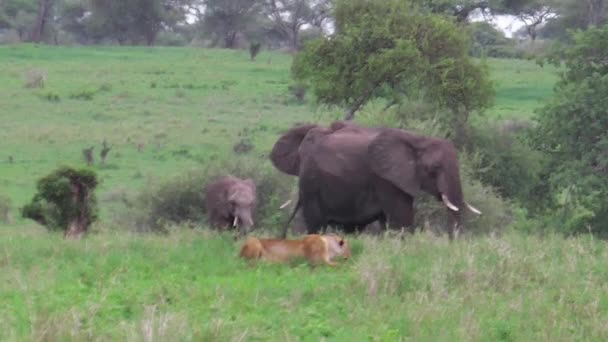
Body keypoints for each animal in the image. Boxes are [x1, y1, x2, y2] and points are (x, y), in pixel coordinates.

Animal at [270, 121, 480, 239]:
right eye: (434, 169)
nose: (452, 242)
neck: (418, 140)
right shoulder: (385, 179)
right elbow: (401, 219)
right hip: (312, 182)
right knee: (316, 224)